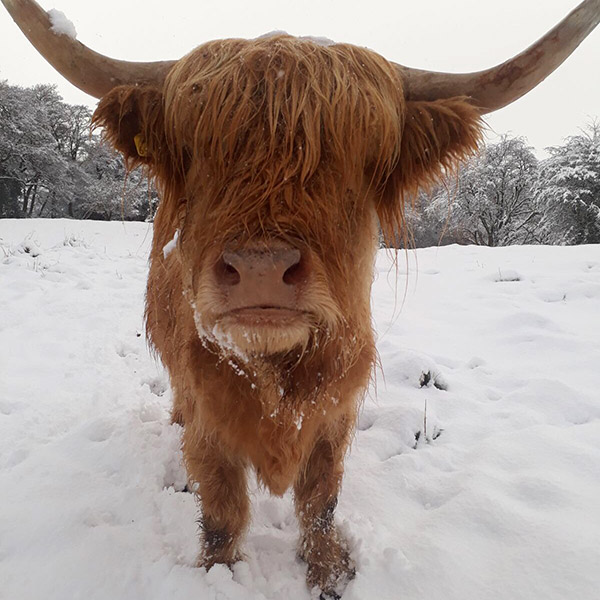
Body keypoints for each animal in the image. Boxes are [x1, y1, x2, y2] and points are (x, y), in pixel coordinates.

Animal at [3, 0, 596, 596]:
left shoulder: (336, 410)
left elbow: (320, 500)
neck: (275, 371)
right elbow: (222, 510)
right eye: (194, 151)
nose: (260, 268)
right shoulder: (209, 415)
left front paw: (328, 571)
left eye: (359, 157)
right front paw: (217, 573)